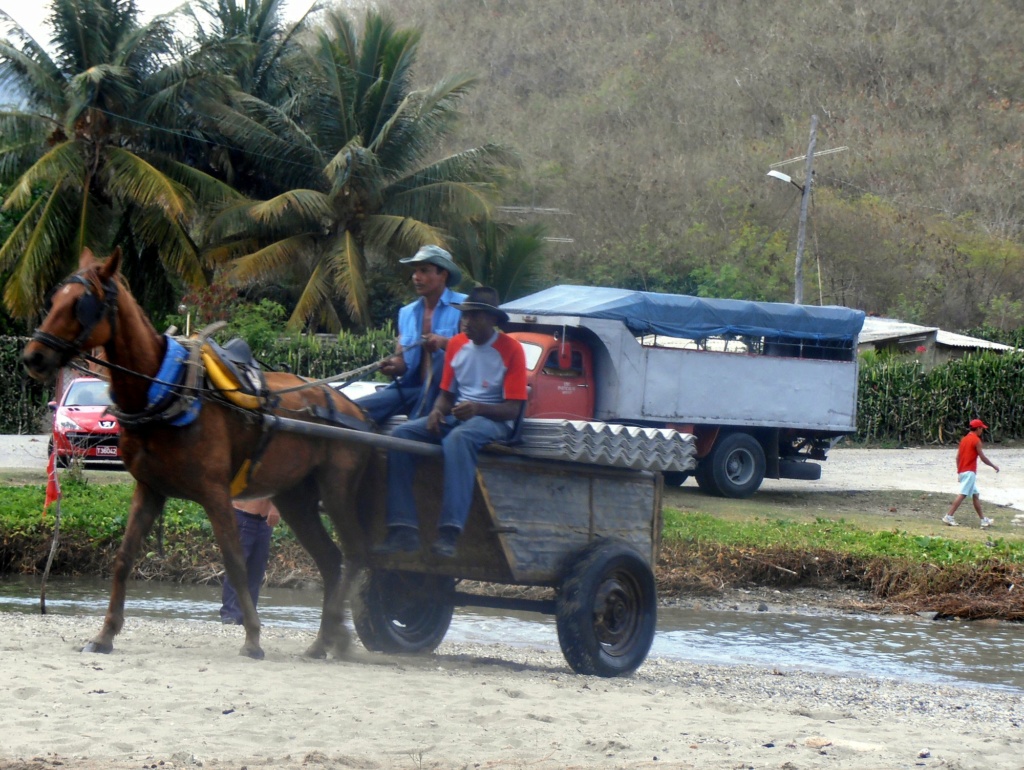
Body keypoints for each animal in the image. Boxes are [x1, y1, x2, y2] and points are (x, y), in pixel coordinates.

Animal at [24, 249, 376, 659]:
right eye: (53, 300)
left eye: (81, 304)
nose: (33, 356)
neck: (167, 390)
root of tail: (352, 407)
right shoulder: (149, 489)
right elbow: (124, 558)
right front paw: (106, 633)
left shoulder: (215, 492)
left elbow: (236, 562)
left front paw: (253, 637)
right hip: (295, 498)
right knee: (331, 560)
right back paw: (324, 640)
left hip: (337, 491)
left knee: (354, 554)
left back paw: (337, 631)